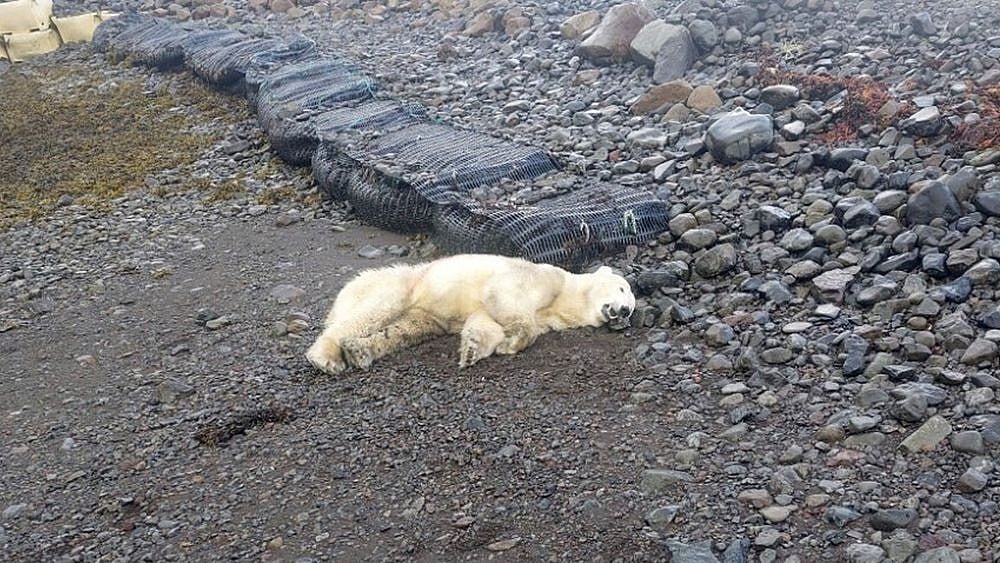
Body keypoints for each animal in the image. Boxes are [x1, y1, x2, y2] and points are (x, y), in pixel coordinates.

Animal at [305, 253, 636, 375]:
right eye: (622, 289)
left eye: (632, 307)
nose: (624, 311)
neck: (567, 296)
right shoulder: (542, 277)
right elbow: (504, 295)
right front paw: (512, 342)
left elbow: (486, 322)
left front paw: (473, 349)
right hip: (400, 285)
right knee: (373, 312)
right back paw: (326, 357)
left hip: (423, 314)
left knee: (405, 330)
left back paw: (359, 351)